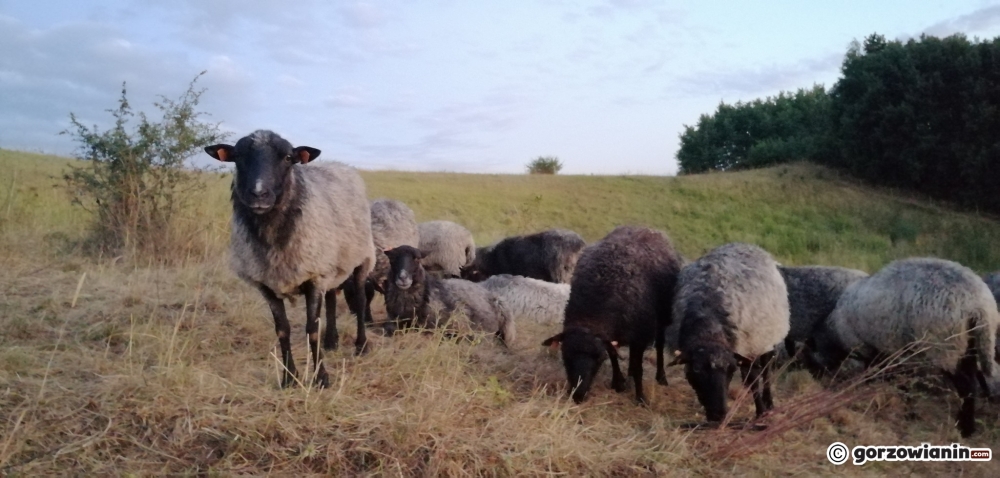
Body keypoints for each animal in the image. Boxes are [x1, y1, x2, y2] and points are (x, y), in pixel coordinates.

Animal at [204, 131, 376, 388]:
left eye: (287, 157)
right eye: (238, 156)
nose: (259, 194)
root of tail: (340, 165)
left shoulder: (314, 275)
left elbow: (311, 330)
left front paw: (321, 378)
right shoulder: (266, 284)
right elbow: (282, 330)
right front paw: (289, 378)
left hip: (361, 257)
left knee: (360, 298)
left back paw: (361, 345)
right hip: (332, 263)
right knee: (332, 298)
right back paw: (332, 341)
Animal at [544, 226, 684, 406]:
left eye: (598, 359)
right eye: (565, 356)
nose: (578, 395)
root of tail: (646, 228)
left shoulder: (640, 335)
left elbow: (638, 368)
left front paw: (640, 398)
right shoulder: (611, 336)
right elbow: (614, 355)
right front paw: (618, 383)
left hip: (662, 318)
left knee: (659, 345)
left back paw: (661, 377)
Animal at [672, 243, 788, 422]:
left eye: (730, 370)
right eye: (696, 369)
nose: (719, 415)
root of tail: (747, 244)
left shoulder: (747, 348)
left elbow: (753, 379)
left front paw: (761, 412)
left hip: (765, 338)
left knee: (766, 370)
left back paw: (769, 401)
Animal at [804, 258, 1000, 436]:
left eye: (809, 359)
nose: (815, 379)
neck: (834, 332)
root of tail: (978, 306)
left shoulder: (871, 346)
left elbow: (872, 370)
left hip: (945, 346)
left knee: (966, 385)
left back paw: (964, 427)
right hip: (969, 345)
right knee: (973, 379)